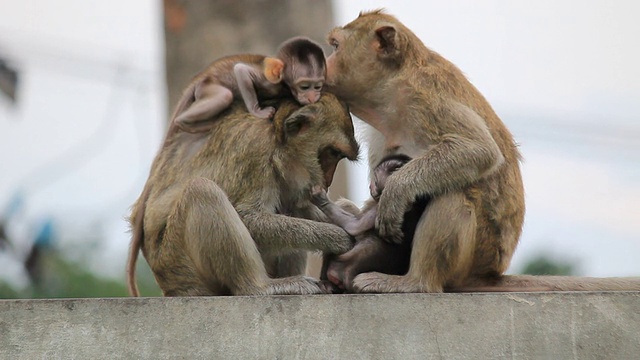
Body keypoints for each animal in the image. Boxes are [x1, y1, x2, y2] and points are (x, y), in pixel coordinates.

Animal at [126, 93, 360, 298]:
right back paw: (259, 287)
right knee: (202, 191)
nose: (327, 181)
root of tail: (171, 287)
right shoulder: (256, 151)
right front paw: (338, 237)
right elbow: (250, 219)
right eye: (332, 153)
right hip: (179, 263)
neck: (276, 140)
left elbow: (296, 205)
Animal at [171, 36, 324, 134]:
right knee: (225, 95)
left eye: (317, 87)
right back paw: (182, 122)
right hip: (206, 87)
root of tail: (204, 74)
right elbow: (241, 70)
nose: (311, 97)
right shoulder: (269, 82)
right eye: (304, 87)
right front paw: (258, 111)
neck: (284, 85)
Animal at [324, 9, 640, 294]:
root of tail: (490, 273)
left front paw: (396, 190)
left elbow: (478, 151)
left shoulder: (425, 100)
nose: (324, 65)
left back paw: (415, 282)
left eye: (336, 46)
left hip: (477, 254)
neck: (391, 91)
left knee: (453, 195)